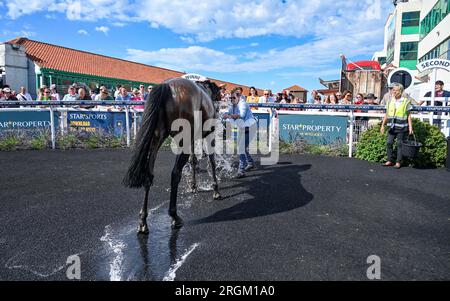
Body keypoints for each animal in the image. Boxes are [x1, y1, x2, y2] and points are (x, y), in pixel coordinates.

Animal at [123, 77, 221, 232]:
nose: (221, 97)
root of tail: (166, 86)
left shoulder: (191, 140)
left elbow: (193, 160)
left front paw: (194, 186)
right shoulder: (209, 134)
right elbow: (211, 161)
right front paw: (215, 190)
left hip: (156, 139)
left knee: (148, 175)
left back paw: (143, 221)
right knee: (175, 173)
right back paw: (174, 216)